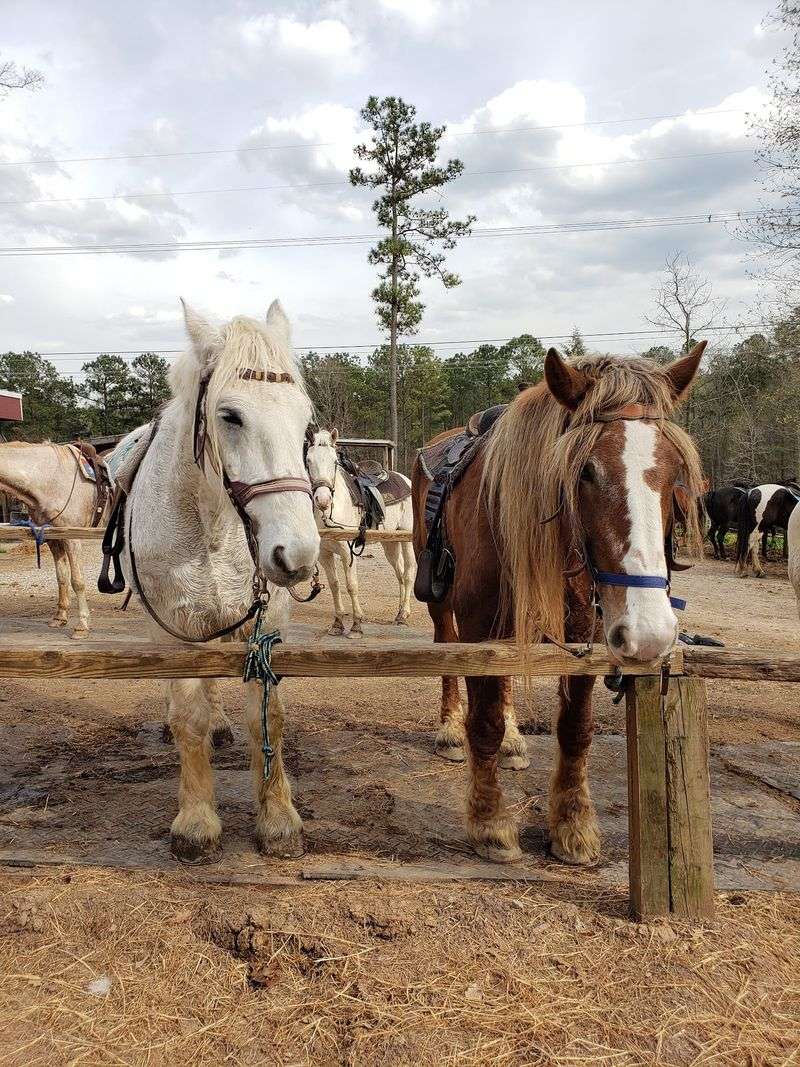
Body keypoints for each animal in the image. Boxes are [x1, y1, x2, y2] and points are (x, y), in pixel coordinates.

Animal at [0, 440, 112, 634]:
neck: (50, 480)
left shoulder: (72, 538)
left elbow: (77, 580)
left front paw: (82, 625)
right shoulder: (53, 538)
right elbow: (62, 577)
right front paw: (60, 617)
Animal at [115, 300, 319, 863]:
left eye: (306, 421)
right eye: (230, 416)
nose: (297, 554)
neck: (212, 526)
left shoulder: (264, 624)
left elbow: (267, 717)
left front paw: (278, 820)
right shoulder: (177, 629)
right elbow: (189, 719)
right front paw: (196, 823)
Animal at [305, 428, 415, 636]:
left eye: (334, 461)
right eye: (308, 460)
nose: (322, 500)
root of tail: (408, 481)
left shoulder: (348, 552)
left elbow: (351, 585)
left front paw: (356, 625)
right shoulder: (324, 554)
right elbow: (334, 585)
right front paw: (337, 623)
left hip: (407, 538)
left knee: (409, 572)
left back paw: (404, 614)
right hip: (390, 542)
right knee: (399, 573)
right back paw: (398, 613)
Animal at [412, 344, 705, 864]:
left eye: (675, 473)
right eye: (585, 470)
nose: (651, 631)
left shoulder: (584, 628)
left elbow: (575, 725)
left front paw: (573, 825)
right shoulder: (477, 623)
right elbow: (482, 720)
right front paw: (490, 822)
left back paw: (513, 742)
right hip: (443, 607)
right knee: (447, 653)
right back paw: (449, 730)